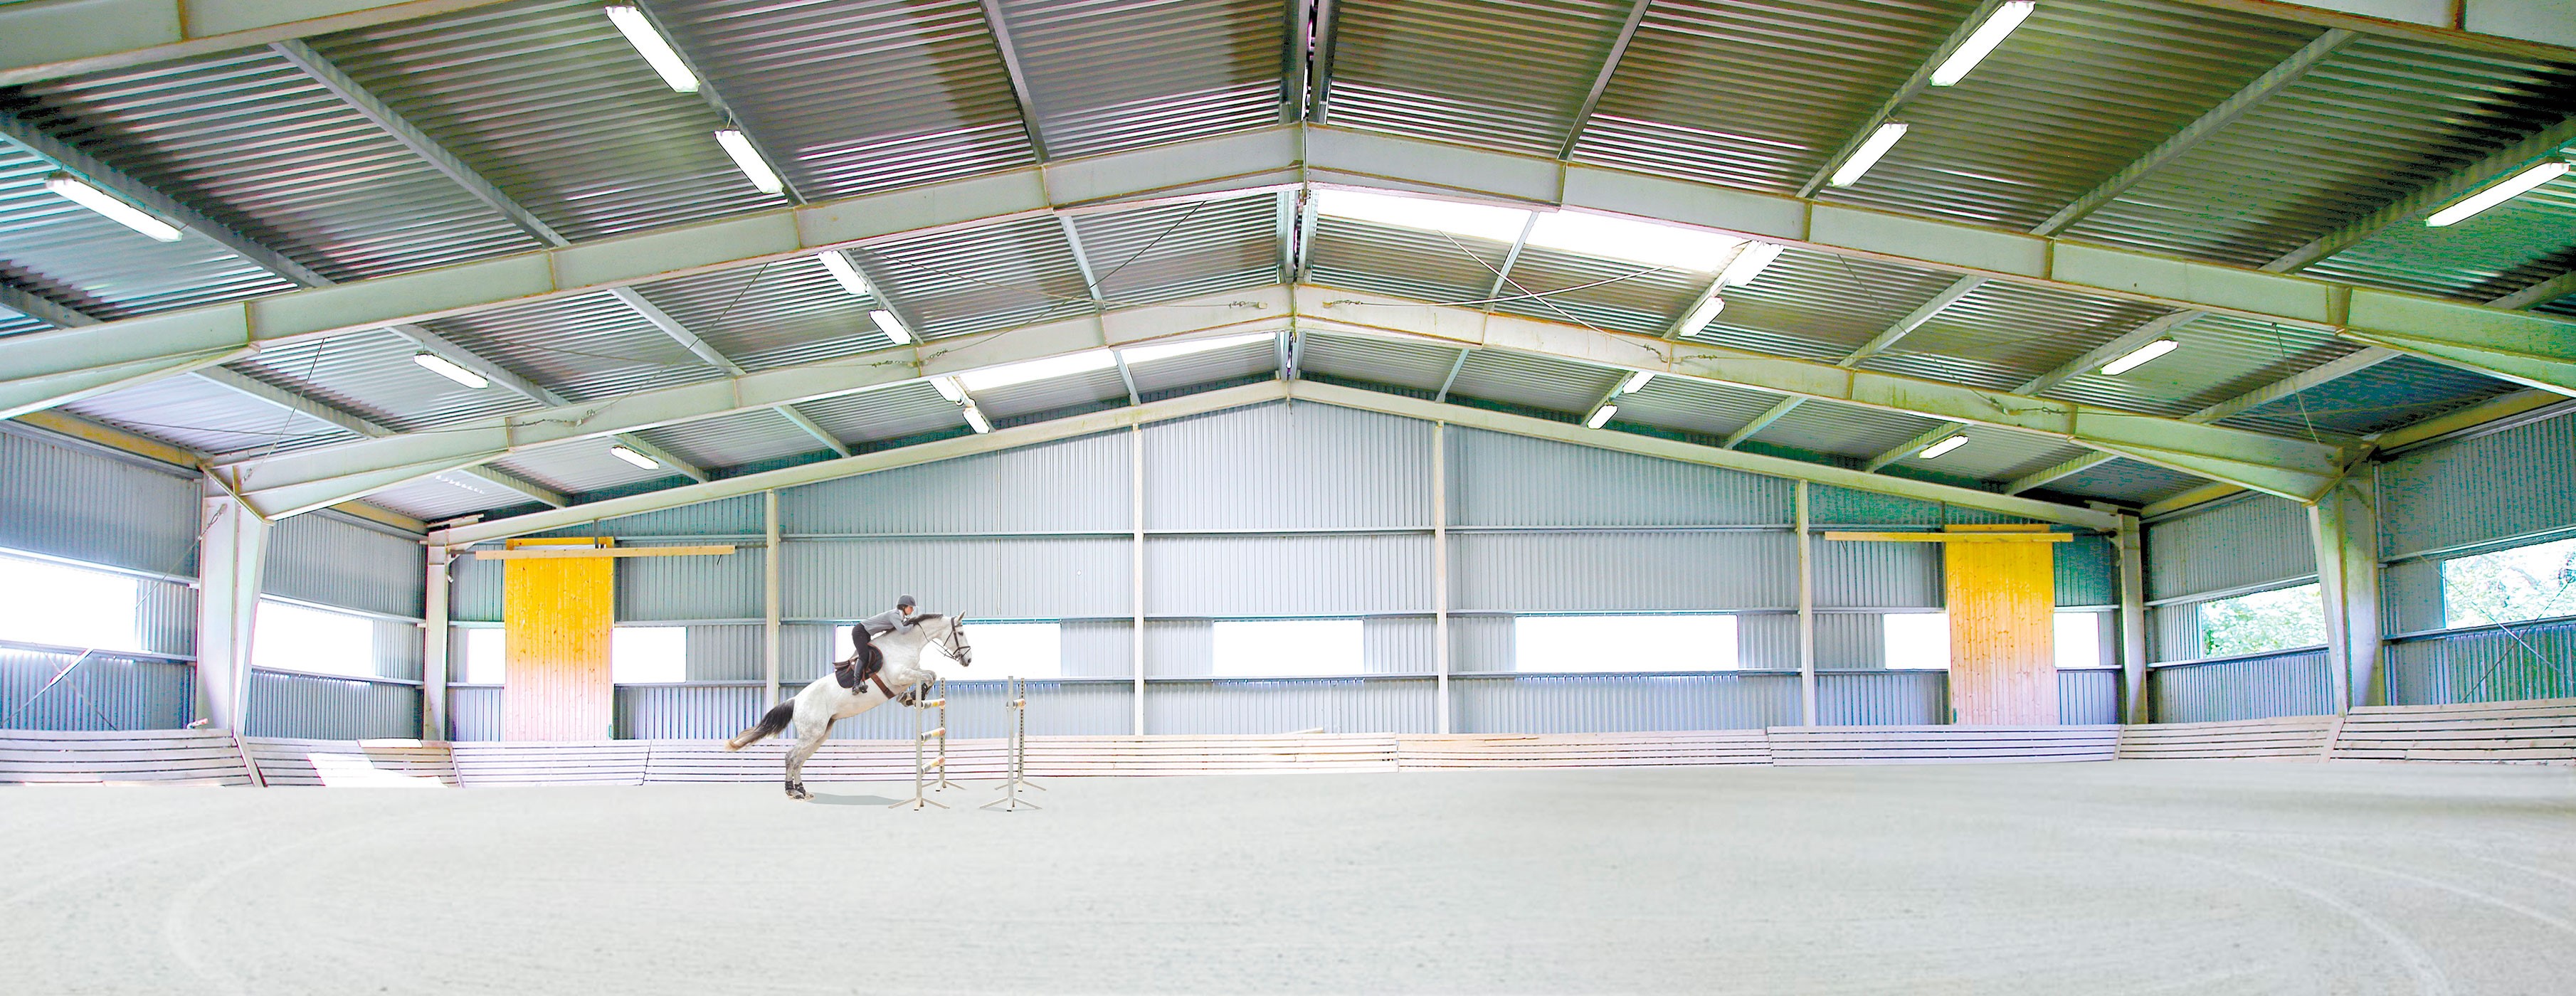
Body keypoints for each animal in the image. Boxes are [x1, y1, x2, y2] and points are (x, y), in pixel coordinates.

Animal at [726, 607, 973, 802]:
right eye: (961, 632)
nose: (968, 661)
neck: (904, 643)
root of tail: (796, 700)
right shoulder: (900, 675)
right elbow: (928, 675)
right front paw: (913, 696)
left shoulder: (910, 673)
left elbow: (930, 674)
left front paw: (911, 697)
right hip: (812, 732)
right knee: (791, 757)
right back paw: (792, 792)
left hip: (820, 734)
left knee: (799, 760)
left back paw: (803, 791)